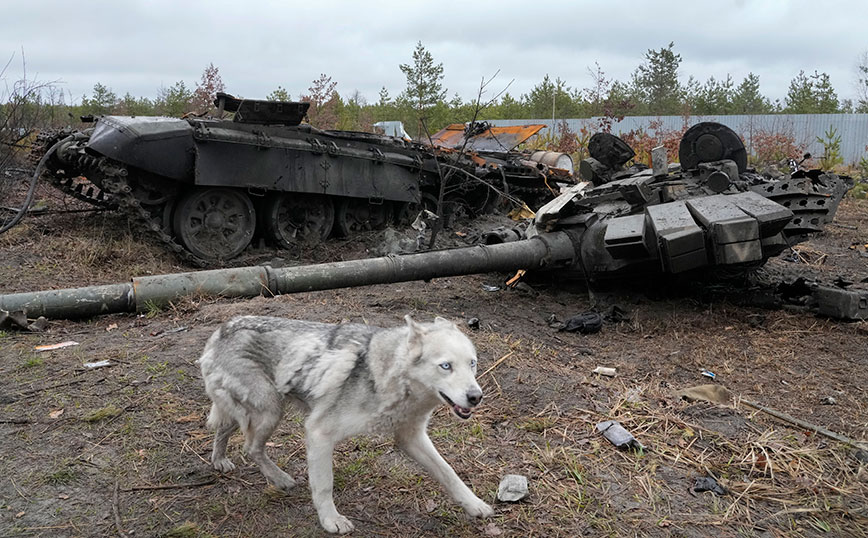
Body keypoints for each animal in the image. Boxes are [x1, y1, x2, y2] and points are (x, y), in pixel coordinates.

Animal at [198, 314, 496, 532]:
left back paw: (219, 460)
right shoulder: (318, 433)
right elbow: (324, 485)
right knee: (250, 447)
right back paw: (280, 479)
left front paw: (475, 505)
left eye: (472, 364)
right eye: (446, 366)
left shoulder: (411, 438)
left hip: (257, 411)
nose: (476, 397)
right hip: (269, 411)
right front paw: (331, 521)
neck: (386, 376)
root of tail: (220, 330)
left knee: (225, 428)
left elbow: (448, 472)